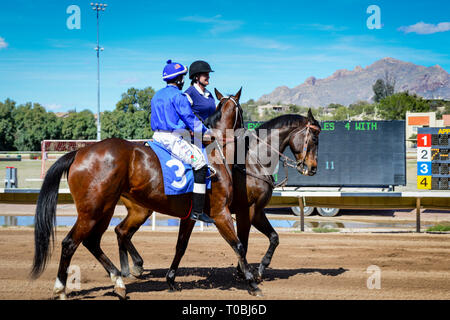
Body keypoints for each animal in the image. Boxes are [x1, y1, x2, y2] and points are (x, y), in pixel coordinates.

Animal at [29, 87, 262, 298]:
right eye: (242, 112)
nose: (249, 132)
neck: (216, 154)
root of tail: (79, 152)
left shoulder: (190, 216)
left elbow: (181, 245)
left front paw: (171, 280)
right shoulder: (220, 212)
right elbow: (239, 246)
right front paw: (252, 283)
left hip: (105, 209)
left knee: (94, 241)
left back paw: (119, 281)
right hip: (92, 211)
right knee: (70, 243)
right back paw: (61, 289)